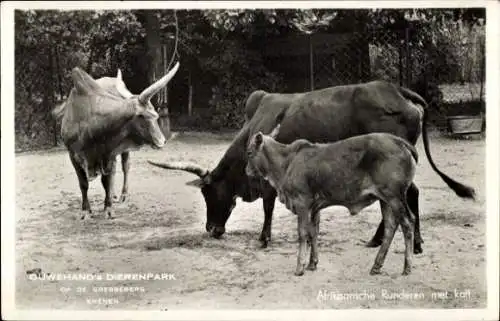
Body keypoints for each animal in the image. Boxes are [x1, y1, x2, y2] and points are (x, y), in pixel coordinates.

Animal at [146, 80, 474, 252]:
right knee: (405, 196)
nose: (211, 229)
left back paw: (408, 242)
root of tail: (396, 90)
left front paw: (264, 238)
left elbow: (268, 207)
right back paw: (388, 240)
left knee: (409, 194)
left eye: (209, 193)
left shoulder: (271, 179)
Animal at [246, 126, 418, 276]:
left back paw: (407, 267)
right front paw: (312, 263)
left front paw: (300, 267)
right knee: (390, 226)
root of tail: (398, 141)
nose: (246, 171)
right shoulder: (314, 208)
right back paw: (376, 266)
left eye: (249, 152)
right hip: (385, 199)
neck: (287, 162)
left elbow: (303, 234)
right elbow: (313, 233)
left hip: (394, 197)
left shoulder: (302, 203)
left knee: (408, 223)